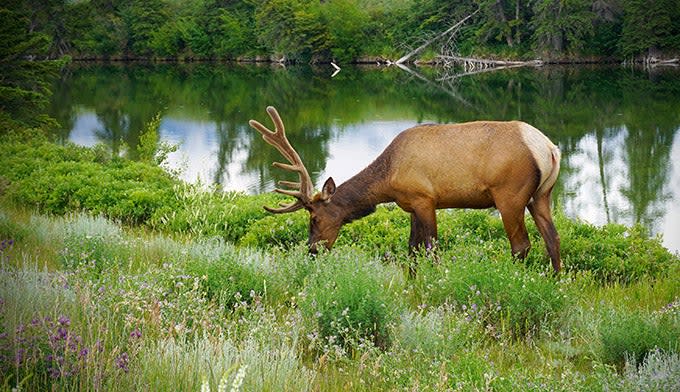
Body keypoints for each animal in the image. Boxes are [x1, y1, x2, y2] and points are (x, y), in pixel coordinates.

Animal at [250, 106, 564, 272]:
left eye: (314, 217)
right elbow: (412, 249)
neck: (388, 179)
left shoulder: (425, 198)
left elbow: (431, 248)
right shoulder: (412, 205)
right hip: (542, 195)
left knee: (521, 245)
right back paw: (555, 281)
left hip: (510, 195)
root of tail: (549, 149)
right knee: (553, 238)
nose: (312, 250)